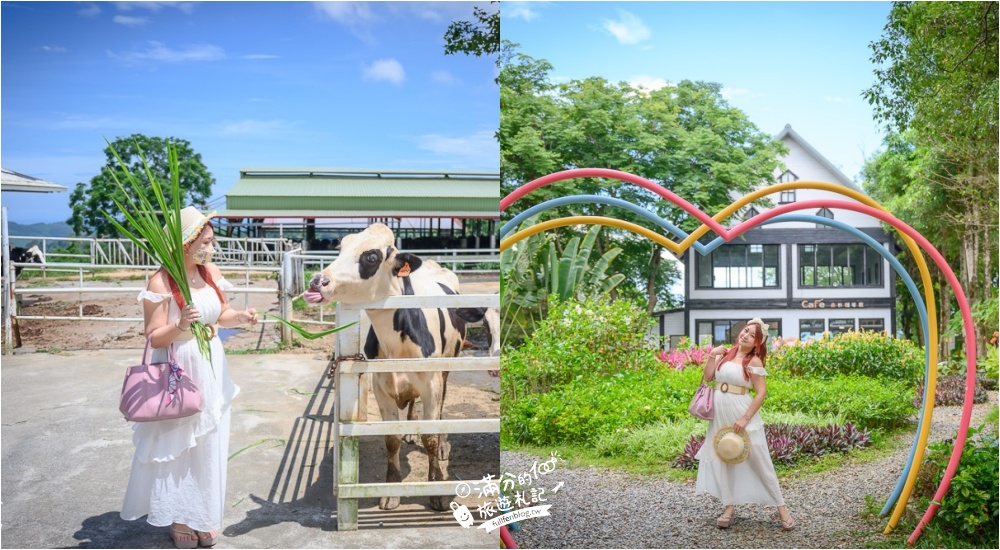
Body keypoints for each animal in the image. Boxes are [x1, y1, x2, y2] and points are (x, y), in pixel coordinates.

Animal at [308, 223, 488, 512]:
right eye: (341, 247)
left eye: (371, 256)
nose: (317, 281)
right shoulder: (381, 386)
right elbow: (391, 438)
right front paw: (391, 491)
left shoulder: (431, 384)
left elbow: (430, 436)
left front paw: (436, 487)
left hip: (446, 370)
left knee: (440, 410)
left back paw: (442, 444)